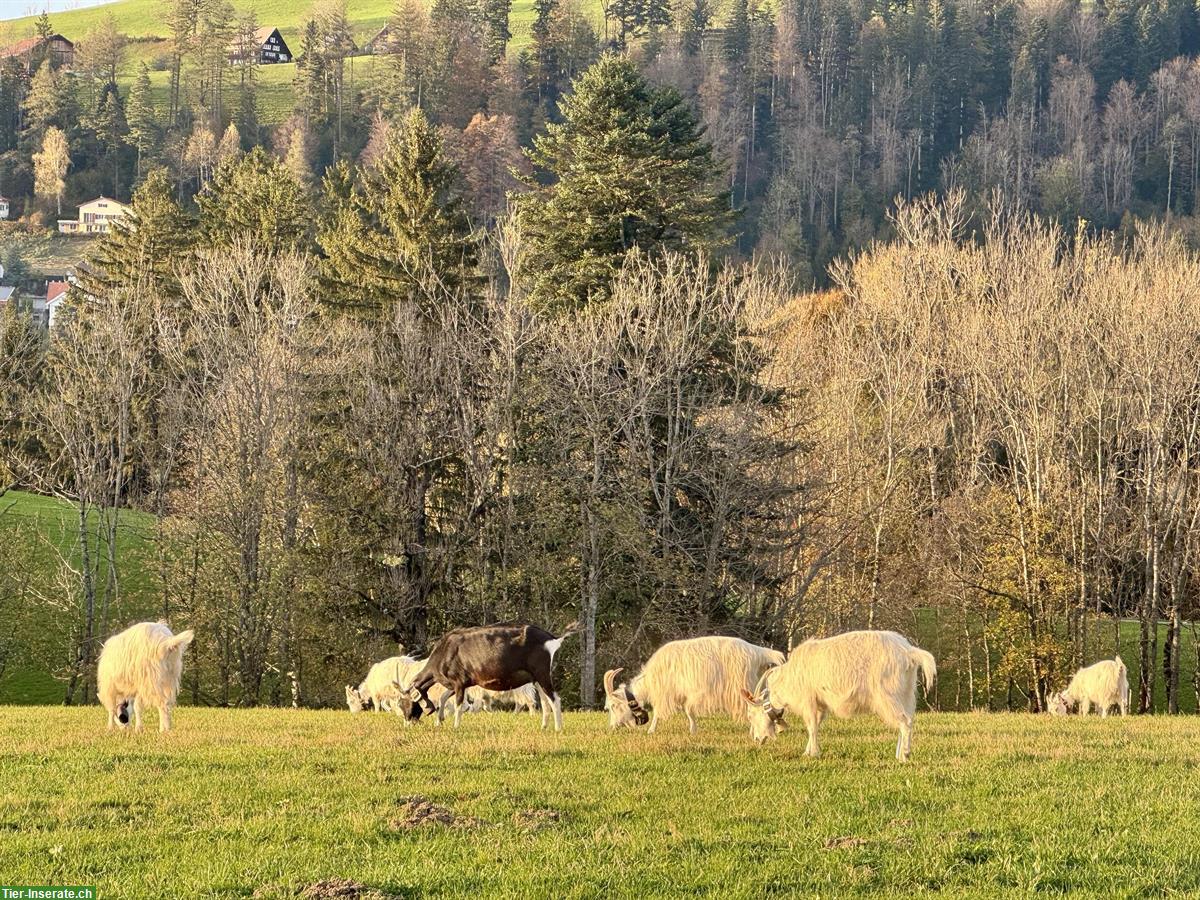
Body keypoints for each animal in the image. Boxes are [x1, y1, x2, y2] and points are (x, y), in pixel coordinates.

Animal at [398, 628, 576, 734]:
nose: (407, 724)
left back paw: (558, 729)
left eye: (407, 705)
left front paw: (455, 726)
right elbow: (443, 697)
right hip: (536, 678)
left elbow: (458, 704)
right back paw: (544, 726)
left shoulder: (459, 682)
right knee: (545, 701)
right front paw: (438, 721)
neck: (443, 653)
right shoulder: (456, 684)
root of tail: (552, 639)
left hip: (542, 673)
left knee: (555, 698)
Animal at [600, 638, 787, 734]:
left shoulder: (669, 693)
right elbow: (687, 711)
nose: (612, 728)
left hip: (743, 683)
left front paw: (651, 731)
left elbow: (661, 713)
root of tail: (758, 652)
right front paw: (693, 730)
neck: (651, 679)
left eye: (614, 706)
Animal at [739, 628, 936, 763]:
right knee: (908, 719)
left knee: (905, 721)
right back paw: (899, 753)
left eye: (750, 715)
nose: (756, 739)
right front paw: (809, 751)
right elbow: (816, 725)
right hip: (907, 694)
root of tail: (909, 652)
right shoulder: (820, 704)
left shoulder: (808, 701)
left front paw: (811, 754)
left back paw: (904, 755)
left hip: (888, 696)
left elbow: (811, 727)